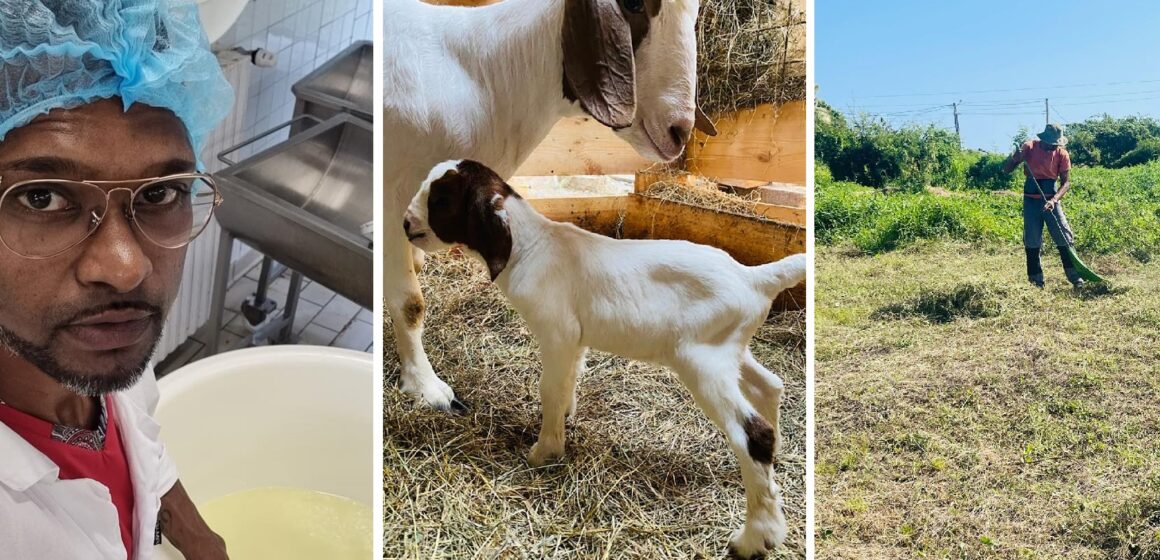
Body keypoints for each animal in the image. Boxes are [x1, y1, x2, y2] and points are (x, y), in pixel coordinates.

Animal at [383, 0, 716, 411]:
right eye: (634, 5)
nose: (680, 132)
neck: (484, 74)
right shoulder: (390, 205)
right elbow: (411, 304)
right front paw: (426, 388)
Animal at [403, 159, 804, 558]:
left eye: (440, 200)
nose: (406, 224)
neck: (530, 245)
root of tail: (755, 278)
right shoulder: (574, 340)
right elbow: (567, 382)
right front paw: (564, 421)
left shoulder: (557, 333)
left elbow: (550, 390)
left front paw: (544, 451)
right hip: (729, 349)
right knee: (770, 386)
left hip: (702, 361)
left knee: (754, 434)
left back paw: (755, 539)